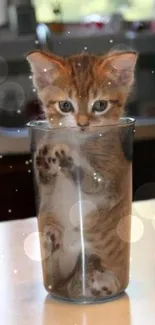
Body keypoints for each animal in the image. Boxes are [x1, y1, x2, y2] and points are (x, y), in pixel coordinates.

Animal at [27, 49, 137, 300]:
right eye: (65, 105)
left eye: (100, 105)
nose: (83, 123)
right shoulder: (46, 185)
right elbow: (45, 178)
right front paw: (44, 159)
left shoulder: (109, 181)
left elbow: (91, 179)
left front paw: (67, 158)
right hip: (62, 265)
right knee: (58, 274)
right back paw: (50, 238)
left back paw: (101, 284)